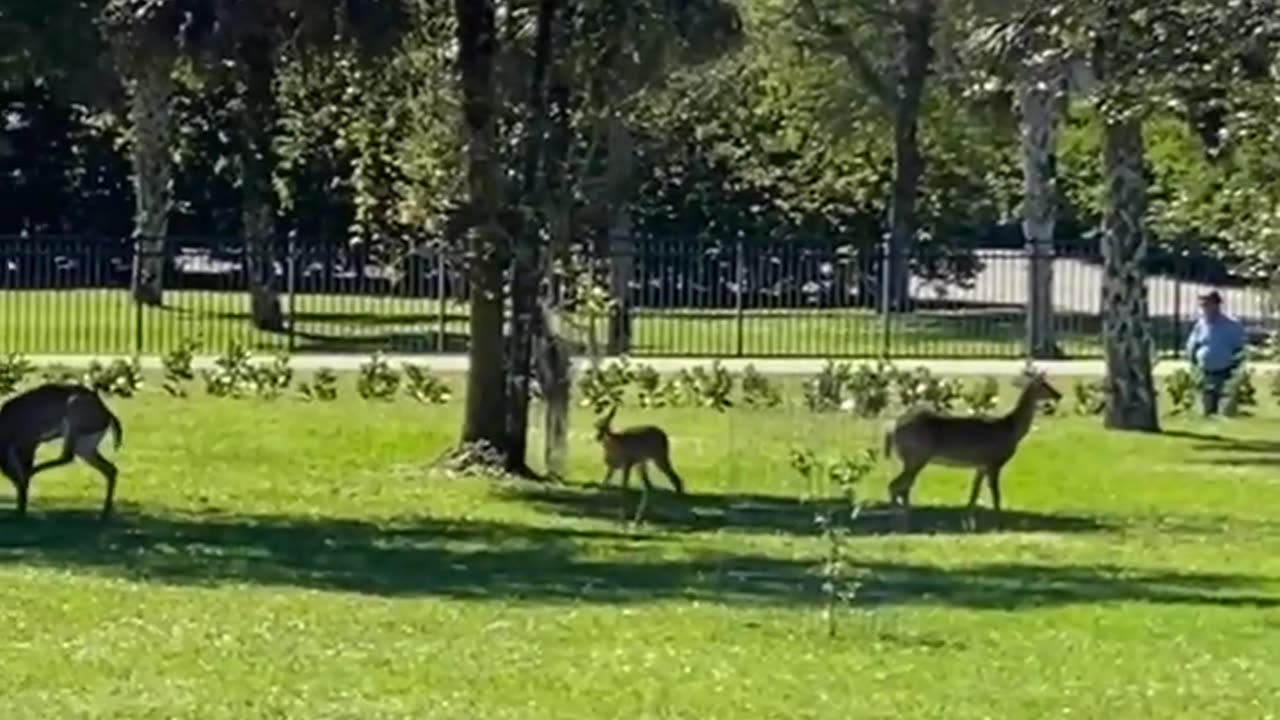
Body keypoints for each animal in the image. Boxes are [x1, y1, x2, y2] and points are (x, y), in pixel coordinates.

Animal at [0, 383, 125, 520]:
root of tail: (108, 415)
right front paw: (20, 508)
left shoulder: (30, 442)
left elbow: (25, 472)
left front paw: (21, 507)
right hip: (85, 447)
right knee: (110, 469)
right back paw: (104, 513)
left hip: (73, 417)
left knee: (67, 456)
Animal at [883, 373, 1061, 528]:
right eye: (1044, 384)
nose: (1059, 395)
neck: (1010, 429)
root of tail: (893, 429)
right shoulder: (994, 462)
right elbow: (996, 494)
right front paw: (999, 524)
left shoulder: (981, 466)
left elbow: (974, 493)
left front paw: (969, 522)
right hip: (916, 457)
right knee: (895, 486)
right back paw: (898, 522)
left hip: (912, 459)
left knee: (903, 487)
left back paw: (904, 519)